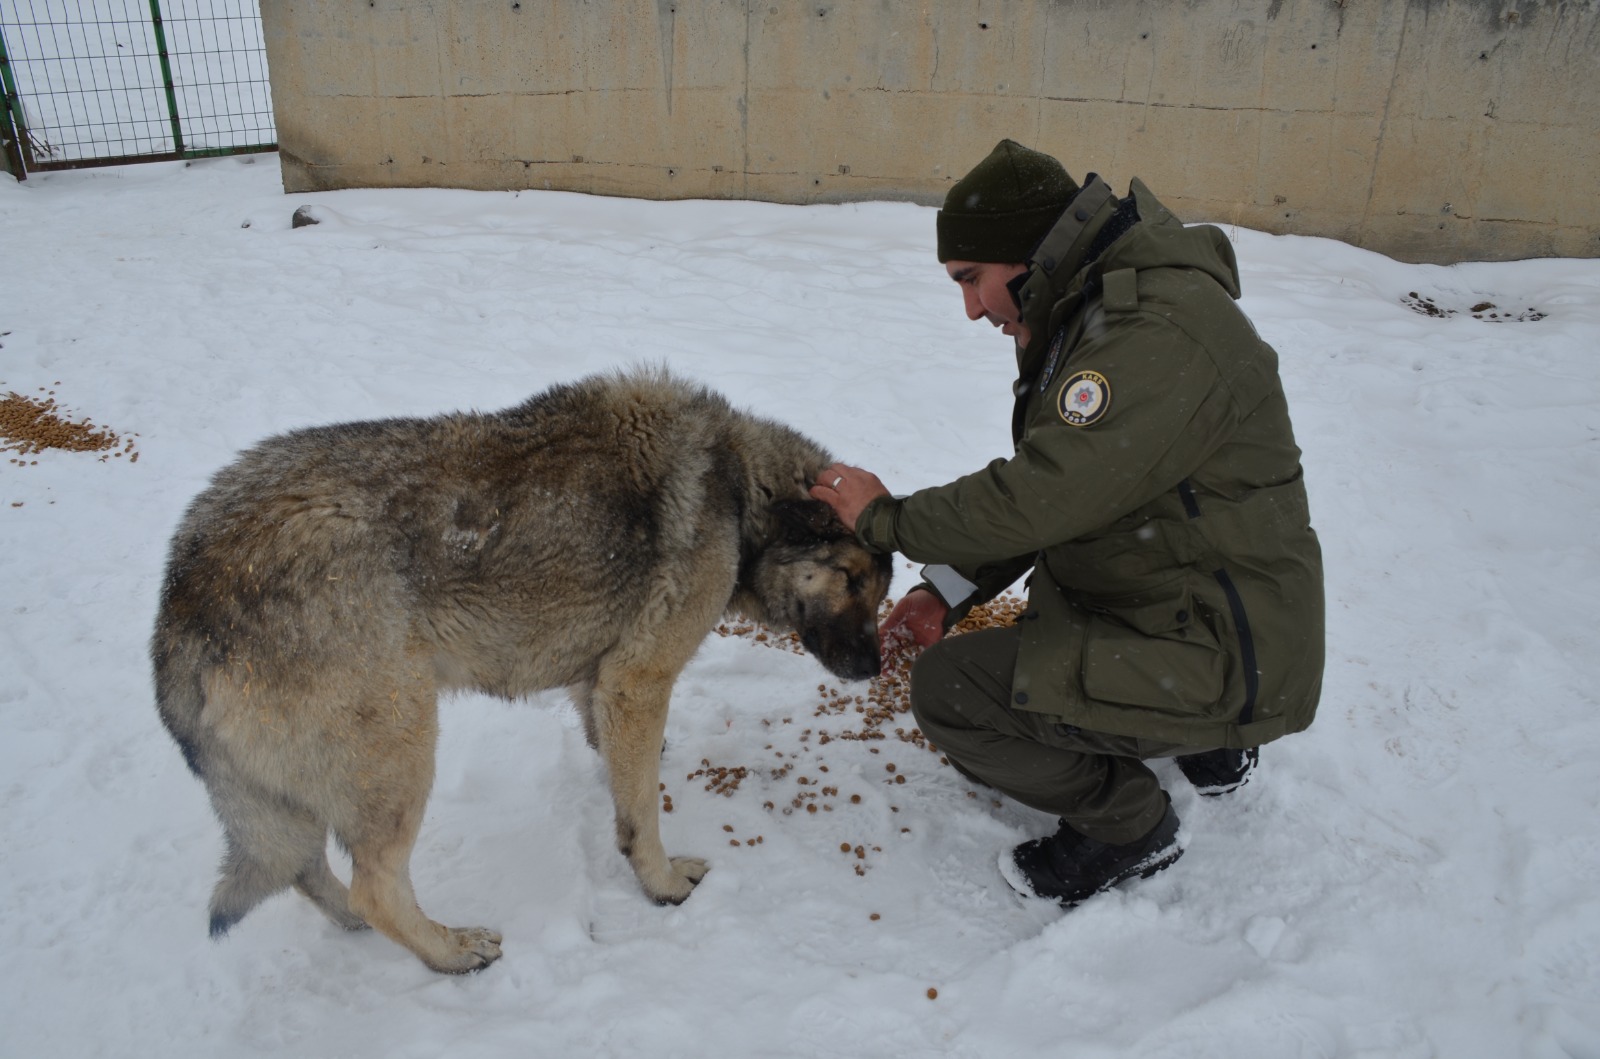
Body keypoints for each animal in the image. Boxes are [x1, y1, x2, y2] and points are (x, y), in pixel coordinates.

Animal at [151, 369, 896, 972]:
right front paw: (660, 884)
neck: (737, 487)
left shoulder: (600, 679)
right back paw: (451, 952)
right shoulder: (639, 678)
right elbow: (643, 811)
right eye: (852, 579)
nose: (873, 668)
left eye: (880, 590)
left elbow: (618, 764)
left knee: (307, 868)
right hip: (402, 748)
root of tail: (185, 588)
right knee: (374, 885)